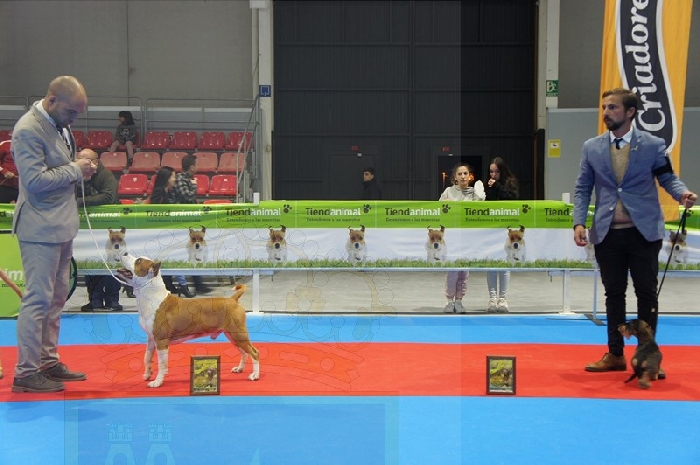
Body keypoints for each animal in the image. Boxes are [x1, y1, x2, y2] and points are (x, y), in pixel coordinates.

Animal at [117, 252, 259, 388]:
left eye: (138, 260)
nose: (124, 252)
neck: (153, 297)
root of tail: (233, 299)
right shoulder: (151, 339)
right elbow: (147, 357)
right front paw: (147, 374)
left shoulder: (161, 341)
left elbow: (162, 364)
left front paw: (157, 382)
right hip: (232, 335)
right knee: (244, 352)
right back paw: (239, 369)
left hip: (238, 334)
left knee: (254, 352)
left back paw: (255, 375)